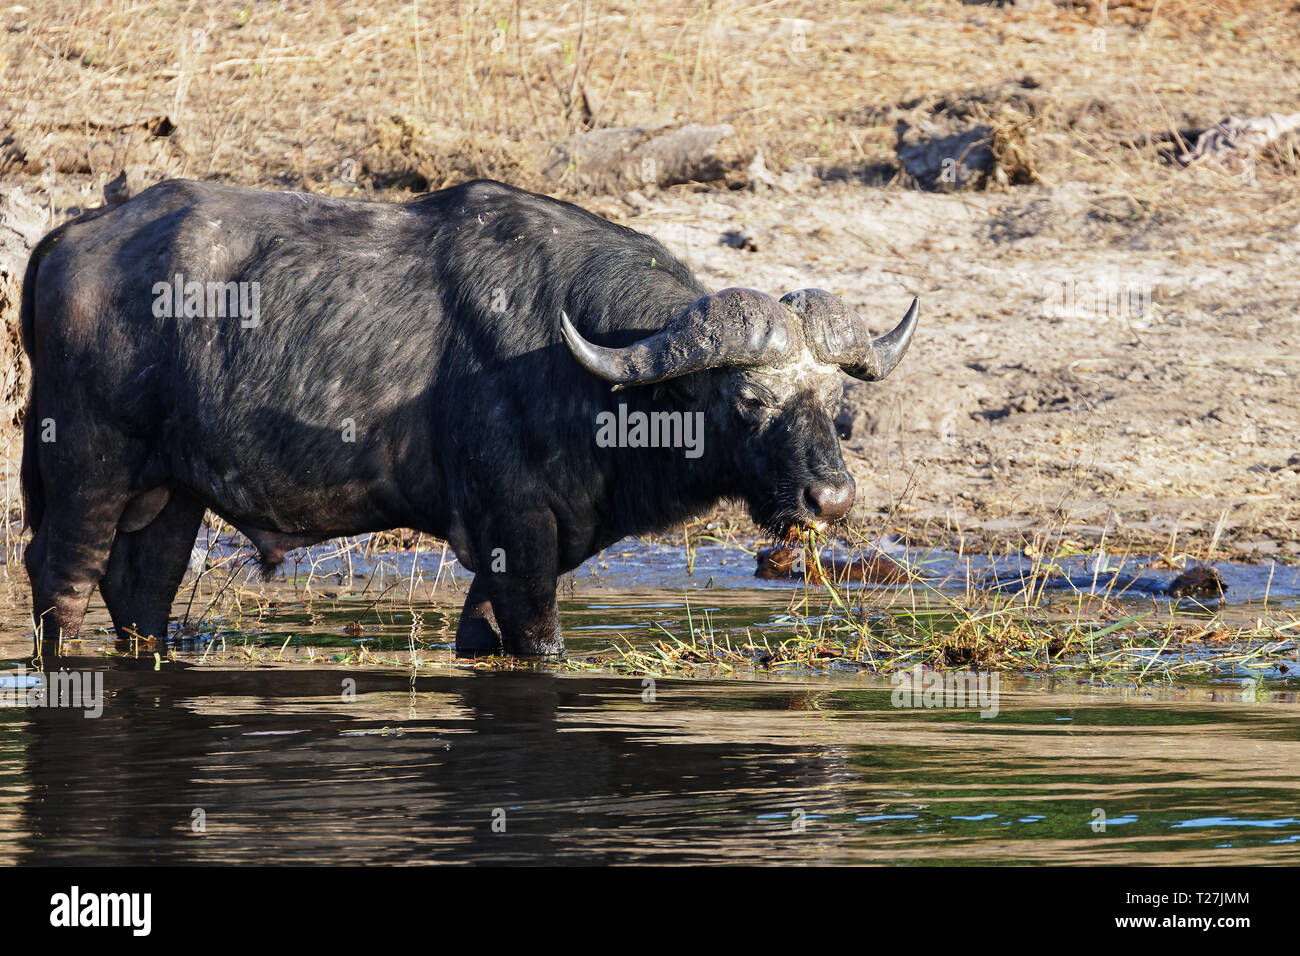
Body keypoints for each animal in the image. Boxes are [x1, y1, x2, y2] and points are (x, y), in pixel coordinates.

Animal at [17, 178, 915, 658]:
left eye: (832, 402)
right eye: (748, 401)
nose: (832, 500)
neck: (584, 376)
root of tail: (66, 241)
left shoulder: (503, 552)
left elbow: (479, 637)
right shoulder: (520, 537)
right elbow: (542, 641)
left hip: (171, 494)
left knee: (141, 595)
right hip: (86, 471)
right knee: (59, 585)